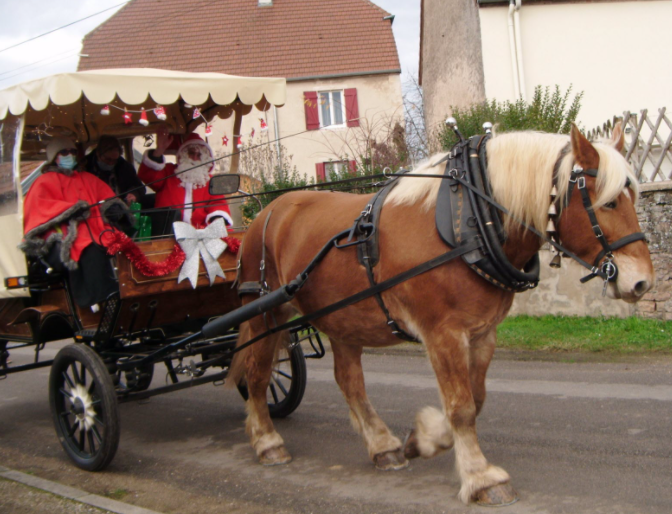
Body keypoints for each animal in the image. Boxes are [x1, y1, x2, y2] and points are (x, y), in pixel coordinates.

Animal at [228, 125, 652, 504]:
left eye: (632, 195)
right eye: (609, 202)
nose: (642, 282)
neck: (472, 223)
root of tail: (268, 211)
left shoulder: (482, 333)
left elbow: (475, 399)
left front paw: (424, 440)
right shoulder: (442, 334)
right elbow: (461, 407)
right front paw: (481, 478)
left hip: (343, 318)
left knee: (349, 381)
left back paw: (382, 445)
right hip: (266, 313)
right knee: (257, 374)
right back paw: (267, 442)